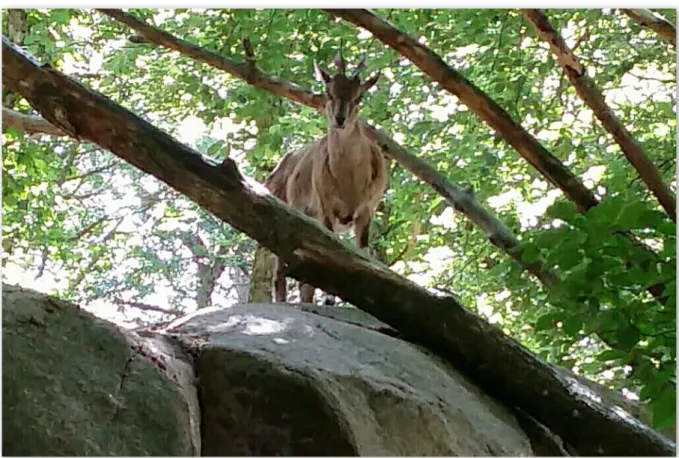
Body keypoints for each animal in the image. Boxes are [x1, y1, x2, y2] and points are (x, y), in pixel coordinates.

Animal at [264, 47, 388, 304]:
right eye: (328, 92)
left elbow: (362, 255)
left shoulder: (366, 211)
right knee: (280, 274)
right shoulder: (325, 209)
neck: (350, 184)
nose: (340, 119)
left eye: (359, 97)